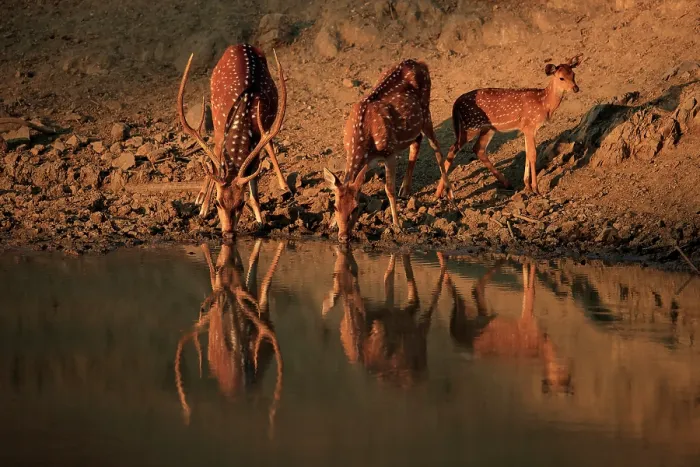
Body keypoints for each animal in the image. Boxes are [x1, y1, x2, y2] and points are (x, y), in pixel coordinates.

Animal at [177, 44, 290, 239]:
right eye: (218, 203)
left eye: (241, 203)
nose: (228, 233)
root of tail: (242, 44)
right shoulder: (220, 128)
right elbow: (215, 167)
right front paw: (204, 209)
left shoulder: (257, 140)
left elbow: (253, 180)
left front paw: (260, 220)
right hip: (216, 120)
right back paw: (200, 199)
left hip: (267, 126)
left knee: (269, 143)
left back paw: (284, 185)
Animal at [323, 59, 454, 244]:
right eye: (335, 207)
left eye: (356, 208)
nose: (343, 237)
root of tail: (421, 63)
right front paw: (332, 224)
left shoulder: (389, 152)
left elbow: (389, 189)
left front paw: (397, 225)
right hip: (412, 124)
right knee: (417, 141)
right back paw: (405, 190)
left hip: (426, 112)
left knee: (436, 146)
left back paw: (448, 192)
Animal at [435, 55, 582, 198]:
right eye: (561, 77)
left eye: (573, 74)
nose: (576, 88)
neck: (544, 103)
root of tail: (456, 103)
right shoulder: (530, 125)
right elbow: (532, 154)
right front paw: (536, 189)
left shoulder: (526, 128)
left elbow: (527, 153)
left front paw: (527, 185)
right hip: (470, 126)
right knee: (452, 149)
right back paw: (438, 194)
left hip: (487, 128)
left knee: (478, 149)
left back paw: (507, 183)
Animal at [437, 253, 573, 394]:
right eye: (559, 379)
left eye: (565, 380)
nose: (569, 373)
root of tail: (453, 330)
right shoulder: (528, 321)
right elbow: (531, 290)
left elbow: (526, 281)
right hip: (469, 315)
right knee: (469, 288)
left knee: (473, 289)